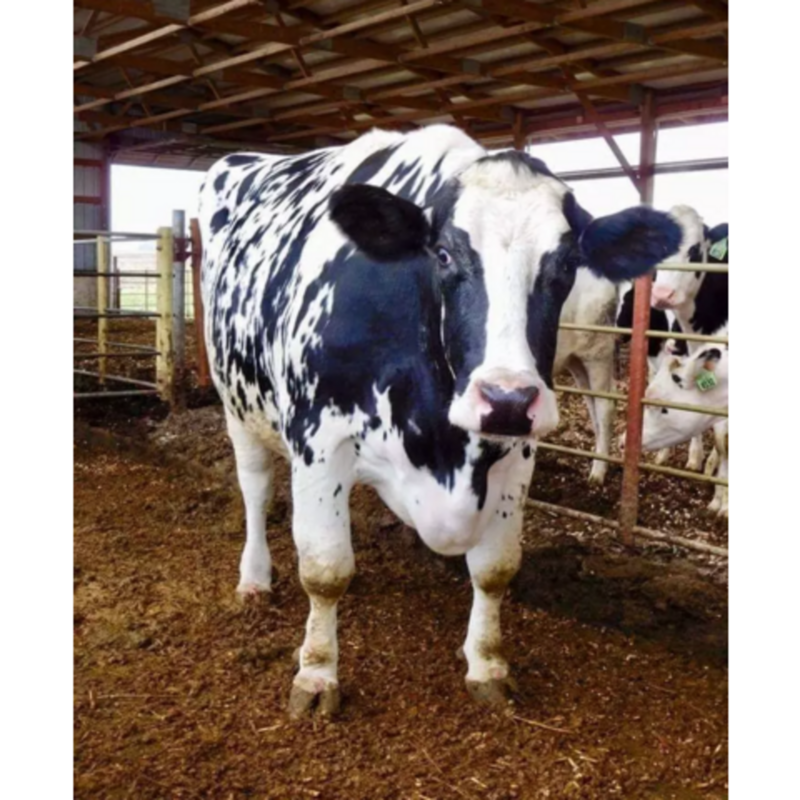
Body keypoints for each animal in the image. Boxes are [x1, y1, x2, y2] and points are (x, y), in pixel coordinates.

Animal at [198, 125, 682, 717]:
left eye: (568, 263)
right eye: (445, 255)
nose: (506, 398)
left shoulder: (516, 453)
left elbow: (496, 568)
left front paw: (486, 663)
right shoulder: (319, 441)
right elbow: (325, 569)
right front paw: (316, 674)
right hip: (236, 403)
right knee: (256, 488)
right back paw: (254, 578)